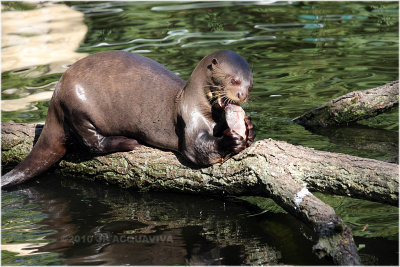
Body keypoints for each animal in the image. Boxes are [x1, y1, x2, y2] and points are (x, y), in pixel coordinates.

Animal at [1, 50, 255, 188]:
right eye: (233, 80)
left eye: (250, 84)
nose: (242, 95)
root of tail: (55, 97)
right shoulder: (189, 116)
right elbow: (197, 150)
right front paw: (230, 141)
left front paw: (249, 128)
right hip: (77, 105)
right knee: (91, 142)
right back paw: (127, 142)